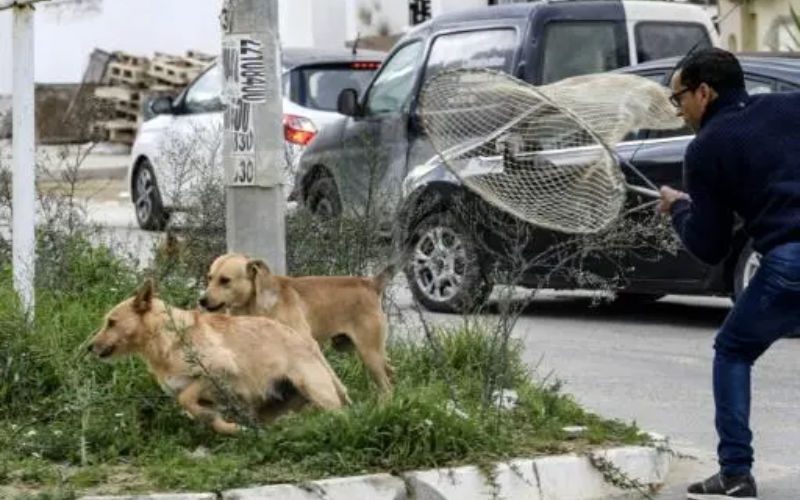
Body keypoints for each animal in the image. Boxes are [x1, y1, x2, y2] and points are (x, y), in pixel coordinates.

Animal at [86, 280, 350, 436]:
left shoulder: (220, 370)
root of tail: (307, 343)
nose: (89, 347)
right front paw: (229, 427)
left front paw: (215, 420)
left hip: (313, 388)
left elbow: (186, 398)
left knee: (338, 414)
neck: (168, 336)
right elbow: (202, 412)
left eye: (111, 323)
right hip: (273, 407)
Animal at [202, 256, 396, 392]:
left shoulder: (308, 345)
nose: (201, 300)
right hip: (358, 349)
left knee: (386, 386)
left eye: (225, 280)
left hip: (368, 353)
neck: (255, 305)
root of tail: (371, 284)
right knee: (391, 371)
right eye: (209, 278)